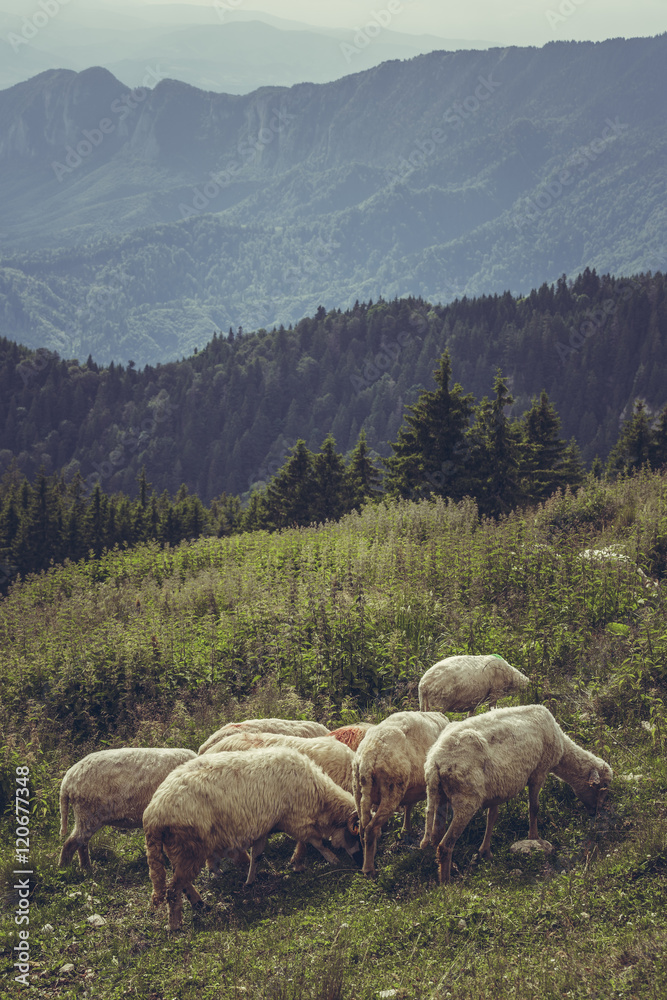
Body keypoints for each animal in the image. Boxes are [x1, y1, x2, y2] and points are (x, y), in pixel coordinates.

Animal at [59, 747, 197, 870]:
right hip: (88, 813)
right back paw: (66, 869)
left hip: (84, 814)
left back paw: (85, 868)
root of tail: (67, 781)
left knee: (81, 843)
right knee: (71, 843)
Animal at [144, 747, 361, 930]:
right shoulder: (294, 819)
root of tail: (153, 814)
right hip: (189, 847)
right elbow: (314, 841)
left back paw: (200, 904)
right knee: (173, 889)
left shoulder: (265, 826)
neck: (319, 795)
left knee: (181, 882)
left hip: (178, 850)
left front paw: (251, 880)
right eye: (357, 835)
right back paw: (175, 925)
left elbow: (257, 854)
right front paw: (332, 859)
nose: (358, 860)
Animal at [353, 710, 449, 876]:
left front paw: (406, 829)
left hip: (358, 792)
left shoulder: (411, 790)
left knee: (362, 828)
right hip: (391, 792)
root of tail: (368, 758)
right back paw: (369, 870)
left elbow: (408, 807)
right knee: (371, 829)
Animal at [420, 705, 613, 884]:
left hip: (441, 796)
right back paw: (446, 883)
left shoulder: (497, 788)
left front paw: (485, 852)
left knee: (437, 838)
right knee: (445, 845)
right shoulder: (538, 772)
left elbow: (492, 817)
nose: (597, 812)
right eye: (602, 786)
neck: (562, 748)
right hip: (466, 799)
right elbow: (534, 808)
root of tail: (434, 762)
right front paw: (534, 838)